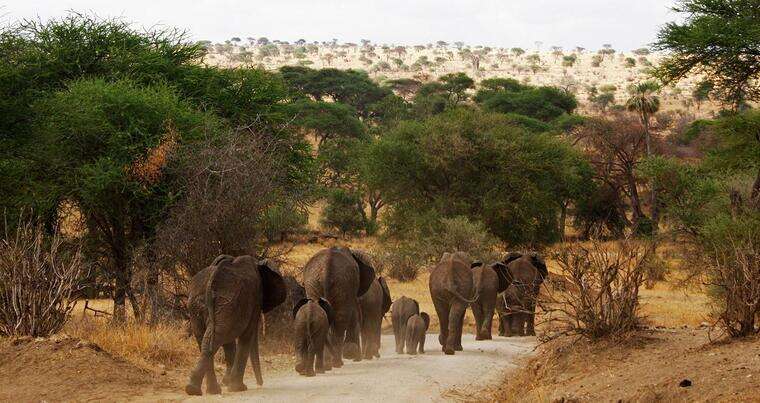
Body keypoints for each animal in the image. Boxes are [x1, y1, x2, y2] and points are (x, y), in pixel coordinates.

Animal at [186, 256, 286, 398]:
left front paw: (228, 383)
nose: (260, 384)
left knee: (208, 340)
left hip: (203, 305)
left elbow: (230, 342)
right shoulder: (254, 300)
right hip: (221, 303)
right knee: (216, 337)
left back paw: (198, 390)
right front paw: (238, 388)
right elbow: (246, 336)